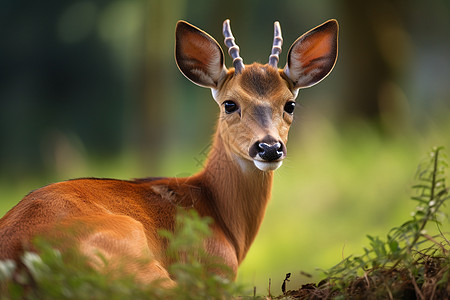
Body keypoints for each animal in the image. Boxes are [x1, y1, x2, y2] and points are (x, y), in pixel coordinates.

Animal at [0, 18, 338, 286]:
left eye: (289, 104)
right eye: (230, 103)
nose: (269, 147)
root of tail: (21, 258)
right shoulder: (214, 271)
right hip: (132, 256)